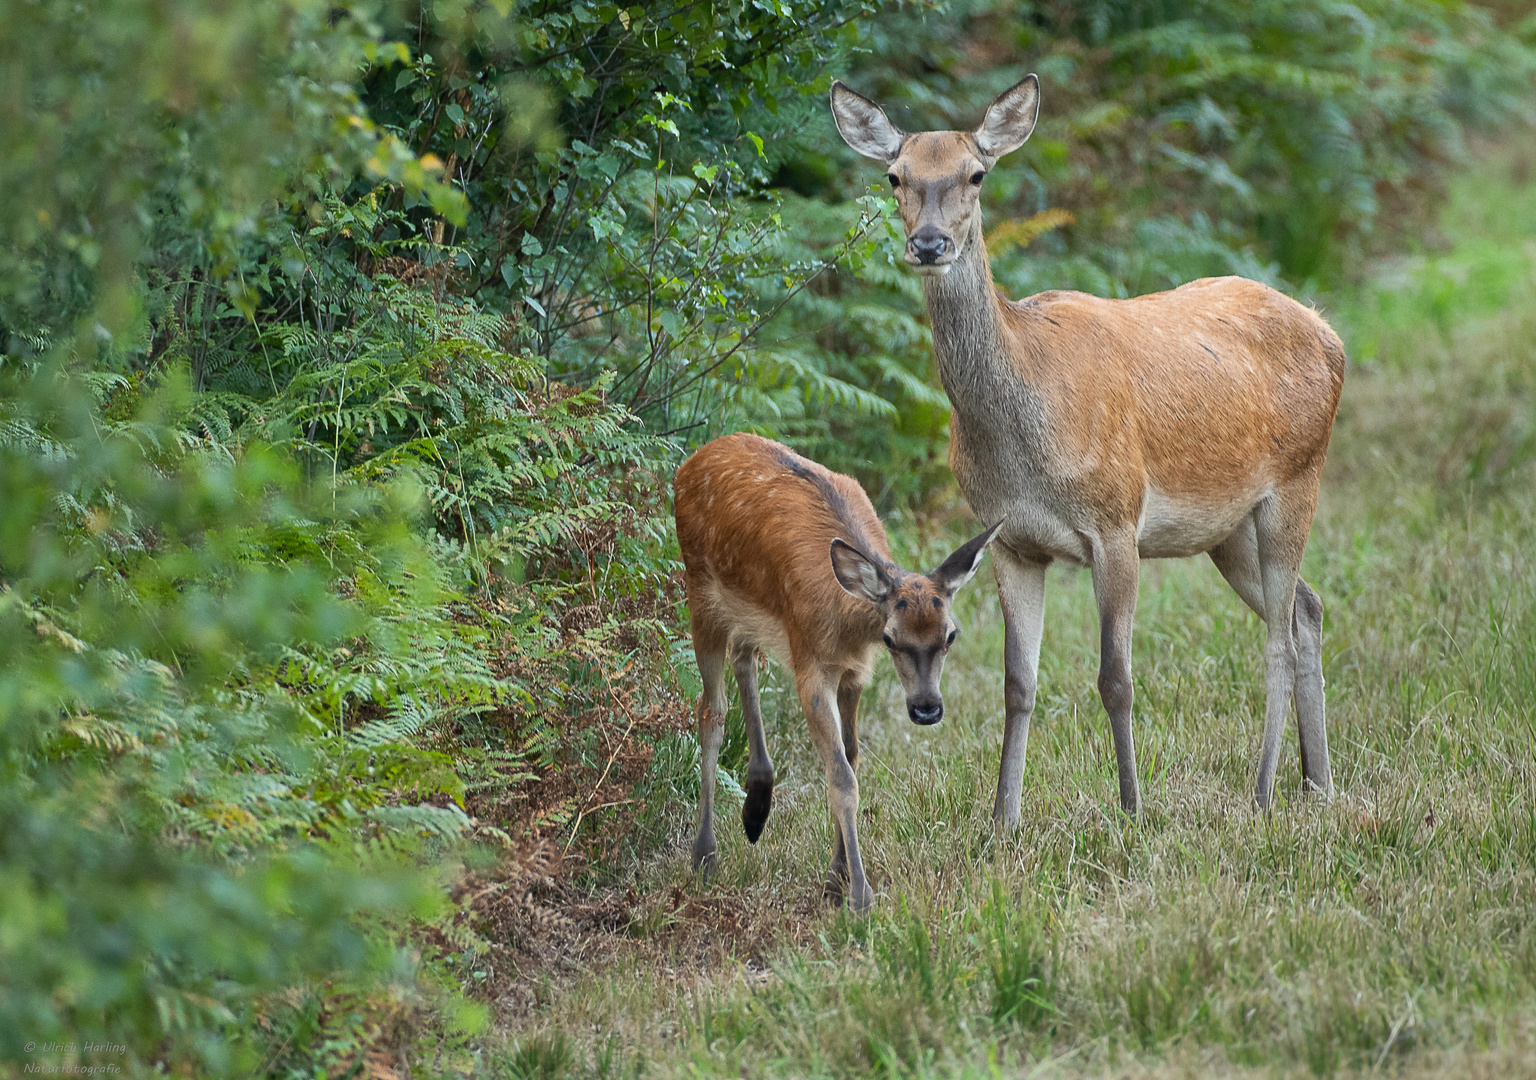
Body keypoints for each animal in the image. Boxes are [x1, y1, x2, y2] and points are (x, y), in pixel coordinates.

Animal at [678, 433, 1001, 909]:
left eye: (950, 635)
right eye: (890, 638)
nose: (926, 708)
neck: (846, 629)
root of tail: (691, 462)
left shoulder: (854, 673)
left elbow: (850, 756)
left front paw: (836, 877)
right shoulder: (810, 664)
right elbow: (841, 778)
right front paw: (860, 895)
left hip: (751, 611)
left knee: (743, 656)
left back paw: (757, 805)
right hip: (700, 591)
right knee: (710, 712)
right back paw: (704, 856)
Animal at [829, 76, 1345, 817]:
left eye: (976, 174)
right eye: (894, 175)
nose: (928, 243)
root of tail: (1329, 332)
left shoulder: (1115, 520)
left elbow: (1115, 678)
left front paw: (1132, 807)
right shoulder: (1012, 541)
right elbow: (1018, 684)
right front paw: (1002, 819)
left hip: (1298, 478)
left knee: (1278, 634)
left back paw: (1265, 790)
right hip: (1226, 527)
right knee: (1307, 608)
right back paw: (1319, 782)